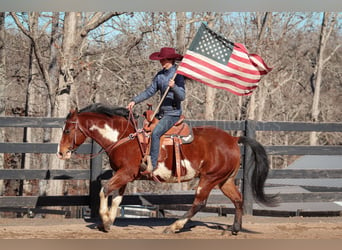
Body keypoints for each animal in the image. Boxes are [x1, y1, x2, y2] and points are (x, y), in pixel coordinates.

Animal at [56, 103, 276, 234]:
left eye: (67, 130)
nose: (61, 152)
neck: (124, 137)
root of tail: (232, 139)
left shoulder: (124, 173)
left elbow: (104, 190)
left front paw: (103, 220)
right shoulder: (125, 176)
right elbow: (116, 198)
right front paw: (108, 221)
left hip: (209, 179)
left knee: (199, 203)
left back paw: (174, 226)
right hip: (224, 180)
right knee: (237, 200)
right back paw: (235, 228)